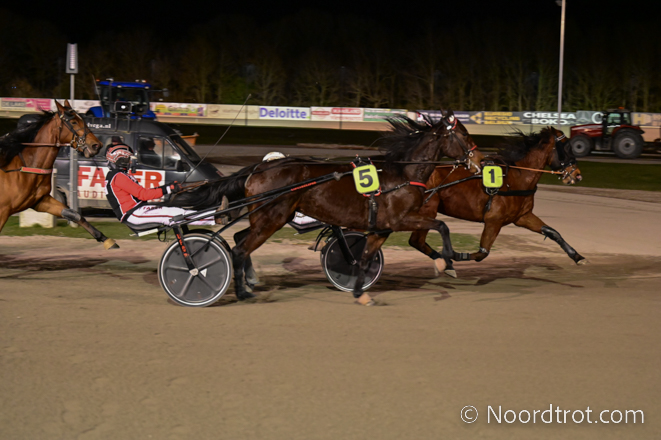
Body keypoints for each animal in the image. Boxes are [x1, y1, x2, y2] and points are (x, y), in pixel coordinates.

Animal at [0, 100, 118, 250]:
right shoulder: (3, 211)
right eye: (73, 122)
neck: (24, 168)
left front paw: (106, 239)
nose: (97, 145)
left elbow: (73, 214)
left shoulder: (40, 201)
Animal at [174, 111, 485, 304]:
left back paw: (249, 281)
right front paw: (448, 259)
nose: (480, 161)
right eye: (465, 136)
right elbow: (442, 225)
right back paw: (240, 291)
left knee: (240, 240)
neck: (401, 174)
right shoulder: (400, 218)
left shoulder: (381, 228)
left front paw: (360, 293)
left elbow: (364, 259)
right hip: (272, 217)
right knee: (239, 249)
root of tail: (260, 168)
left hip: (265, 217)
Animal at [408, 126, 586, 266]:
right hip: (428, 210)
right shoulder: (494, 220)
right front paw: (454, 255)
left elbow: (552, 232)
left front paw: (577, 256)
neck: (516, 179)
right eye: (567, 148)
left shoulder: (522, 217)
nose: (577, 175)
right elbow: (482, 253)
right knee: (417, 241)